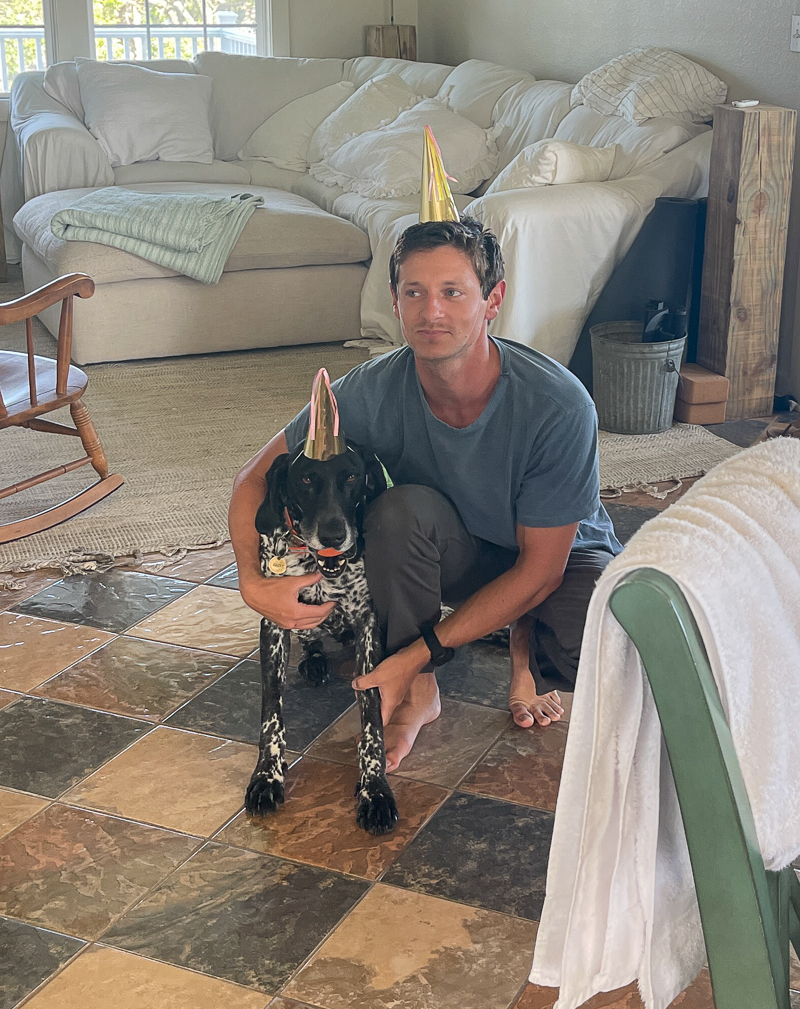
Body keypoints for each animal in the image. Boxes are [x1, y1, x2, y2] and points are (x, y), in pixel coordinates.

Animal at [244, 440, 399, 835]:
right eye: (306, 479)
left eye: (352, 476)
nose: (333, 536)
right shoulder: (274, 621)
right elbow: (271, 711)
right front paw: (267, 776)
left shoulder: (369, 625)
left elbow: (372, 715)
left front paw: (374, 789)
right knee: (310, 641)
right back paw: (314, 661)